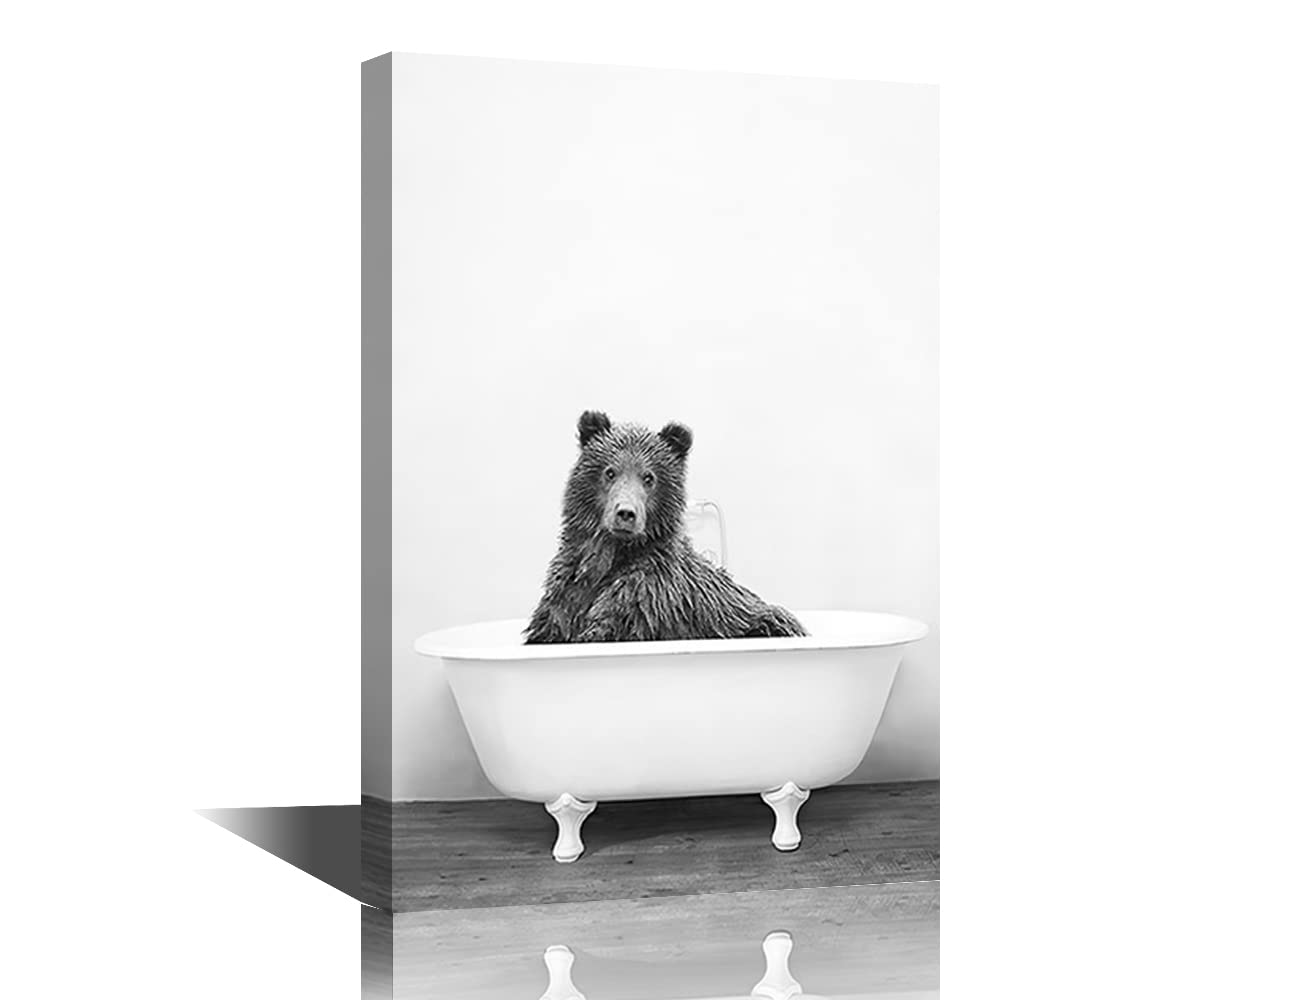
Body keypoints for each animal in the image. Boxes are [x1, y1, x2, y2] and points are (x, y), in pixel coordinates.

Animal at [523, 410, 806, 643]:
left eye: (649, 477)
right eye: (610, 472)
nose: (626, 513)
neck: (611, 554)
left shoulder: (646, 595)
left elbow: (612, 621)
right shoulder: (565, 594)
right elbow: (550, 625)